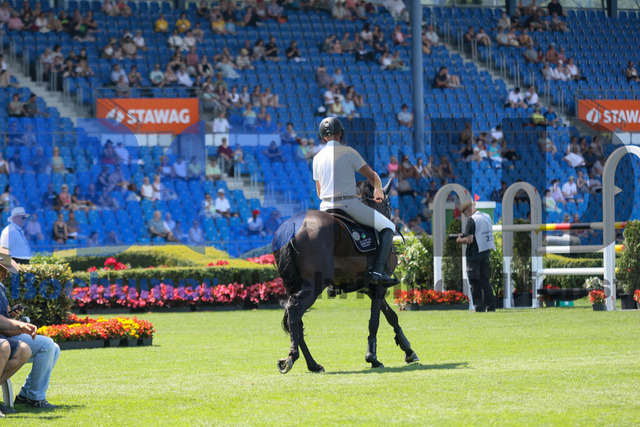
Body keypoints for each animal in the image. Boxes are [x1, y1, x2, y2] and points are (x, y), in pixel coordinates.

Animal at [273, 179, 419, 374]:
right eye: (388, 205)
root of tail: (292, 226)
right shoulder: (379, 285)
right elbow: (375, 320)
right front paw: (372, 357)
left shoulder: (370, 287)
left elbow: (391, 316)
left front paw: (408, 350)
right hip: (313, 285)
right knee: (295, 311)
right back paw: (291, 358)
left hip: (294, 285)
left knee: (295, 320)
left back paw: (313, 364)